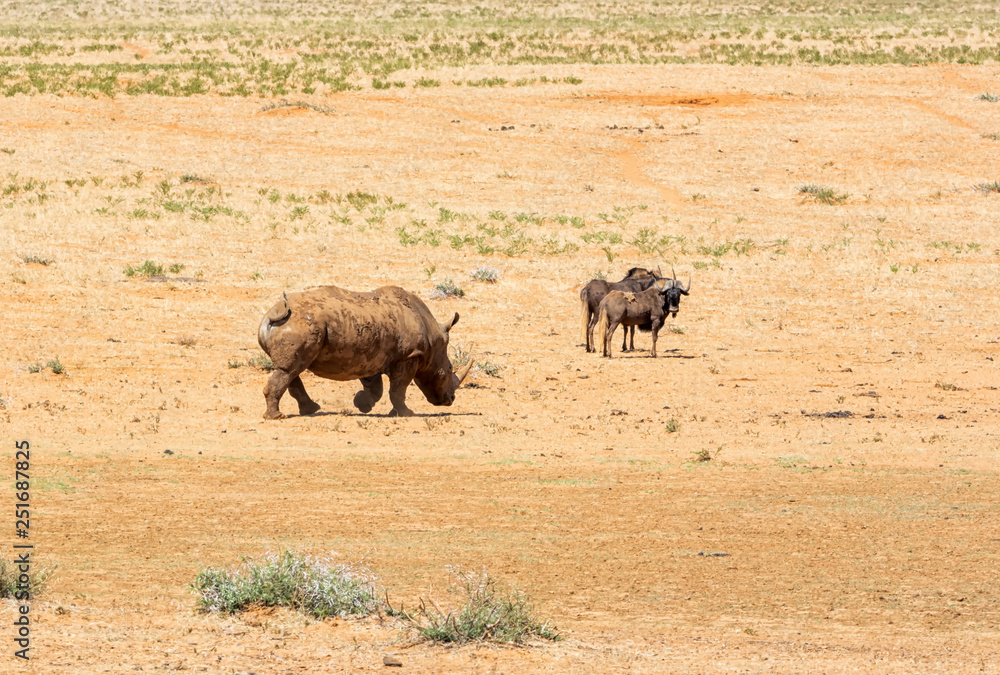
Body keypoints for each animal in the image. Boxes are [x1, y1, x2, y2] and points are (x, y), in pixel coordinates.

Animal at [257, 285, 474, 419]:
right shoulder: (409, 356)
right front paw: (406, 413)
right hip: (301, 327)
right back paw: (278, 417)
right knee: (290, 369)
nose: (449, 400)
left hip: (299, 327)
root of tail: (274, 313)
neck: (433, 338)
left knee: (292, 369)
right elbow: (398, 388)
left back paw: (310, 410)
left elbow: (375, 386)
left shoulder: (369, 355)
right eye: (449, 369)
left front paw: (362, 404)